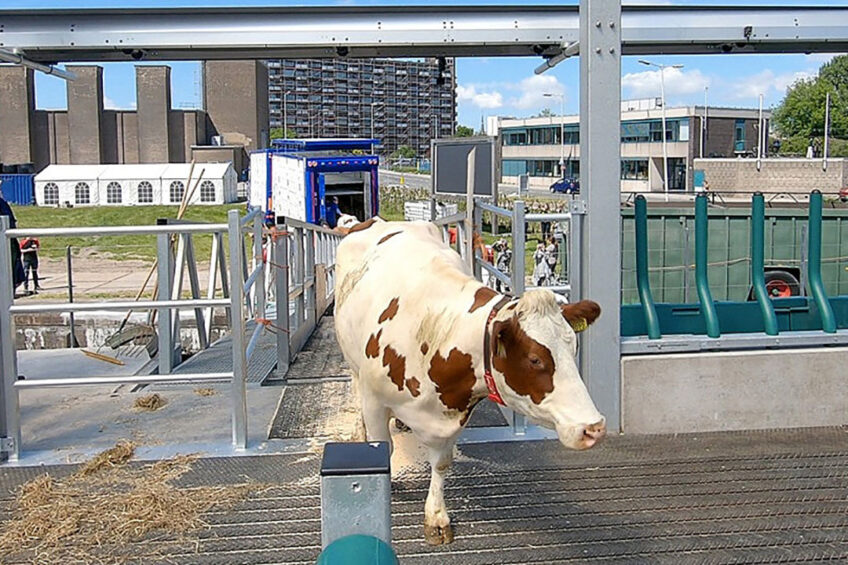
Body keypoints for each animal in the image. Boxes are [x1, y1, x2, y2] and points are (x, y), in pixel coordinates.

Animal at [334, 218, 608, 544]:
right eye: (534, 359)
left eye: (574, 347)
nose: (594, 427)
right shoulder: (375, 402)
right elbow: (383, 451)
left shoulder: (454, 413)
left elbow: (441, 463)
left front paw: (436, 516)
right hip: (351, 360)